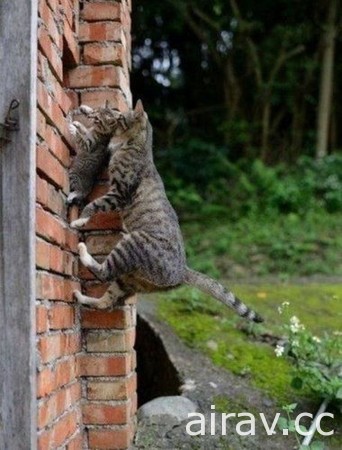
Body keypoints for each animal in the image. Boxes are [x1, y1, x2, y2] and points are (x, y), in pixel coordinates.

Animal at [69, 101, 262, 324]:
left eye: (120, 118)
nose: (114, 118)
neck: (134, 145)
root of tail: (183, 271)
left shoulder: (119, 193)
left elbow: (94, 205)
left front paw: (80, 220)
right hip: (128, 281)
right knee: (106, 302)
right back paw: (81, 297)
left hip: (132, 243)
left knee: (104, 272)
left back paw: (83, 251)